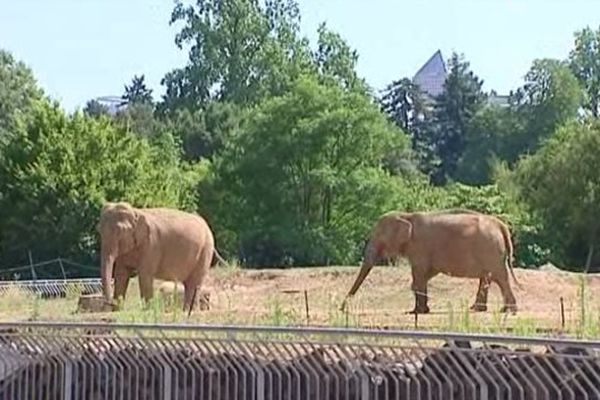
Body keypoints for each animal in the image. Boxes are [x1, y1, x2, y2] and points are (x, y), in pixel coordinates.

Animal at [340, 209, 524, 316]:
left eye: (378, 237)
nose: (342, 308)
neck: (406, 215)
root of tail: (501, 225)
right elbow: (425, 275)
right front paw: (421, 310)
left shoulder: (420, 247)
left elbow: (419, 273)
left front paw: (416, 312)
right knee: (488, 277)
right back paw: (479, 309)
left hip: (490, 250)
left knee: (500, 277)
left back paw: (509, 311)